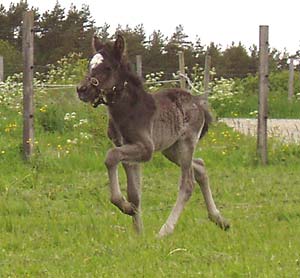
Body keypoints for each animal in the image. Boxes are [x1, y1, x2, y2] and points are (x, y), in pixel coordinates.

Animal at [77, 33, 230, 236]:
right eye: (90, 66)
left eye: (107, 67)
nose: (81, 89)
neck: (128, 110)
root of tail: (198, 102)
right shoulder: (126, 150)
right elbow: (134, 193)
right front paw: (137, 230)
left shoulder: (145, 149)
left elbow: (111, 157)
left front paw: (124, 207)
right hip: (171, 150)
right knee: (200, 166)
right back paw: (219, 220)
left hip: (186, 143)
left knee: (188, 184)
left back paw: (165, 230)